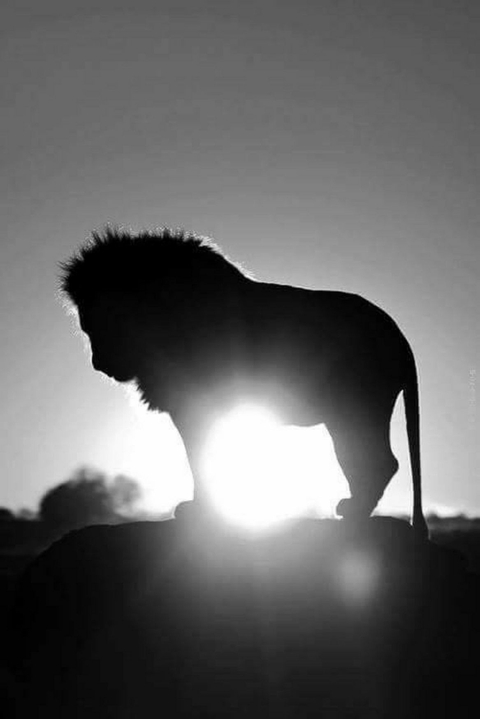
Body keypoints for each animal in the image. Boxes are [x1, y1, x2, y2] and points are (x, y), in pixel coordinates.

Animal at [60, 227, 428, 538]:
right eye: (87, 328)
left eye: (104, 324)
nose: (99, 364)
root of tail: (399, 335)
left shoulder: (195, 405)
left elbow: (201, 457)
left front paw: (202, 511)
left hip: (356, 409)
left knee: (379, 462)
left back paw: (354, 513)